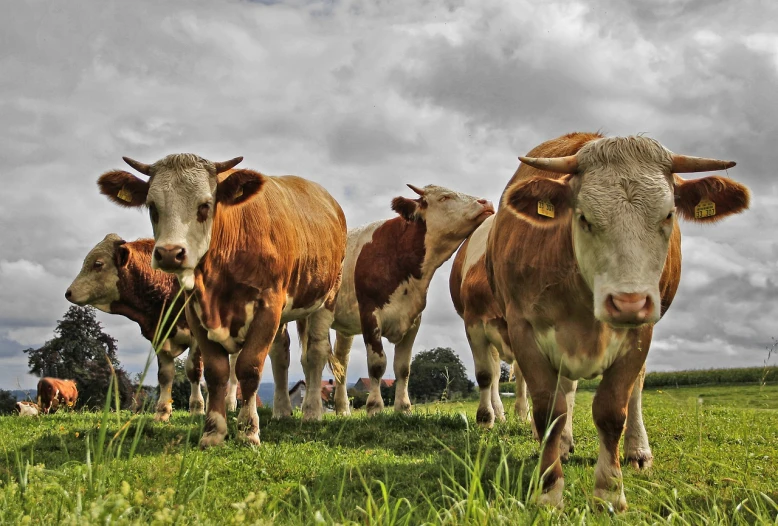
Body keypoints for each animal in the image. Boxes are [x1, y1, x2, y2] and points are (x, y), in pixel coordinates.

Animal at [66, 237, 206, 422]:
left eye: (98, 263)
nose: (68, 292)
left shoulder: (198, 334)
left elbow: (193, 370)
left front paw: (197, 409)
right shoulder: (159, 335)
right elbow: (165, 374)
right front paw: (162, 411)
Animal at [98, 155, 348, 448]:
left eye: (205, 205)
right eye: (152, 206)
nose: (169, 253)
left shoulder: (268, 305)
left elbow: (249, 367)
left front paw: (248, 430)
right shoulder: (195, 312)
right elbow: (216, 372)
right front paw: (213, 431)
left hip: (326, 297)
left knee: (315, 352)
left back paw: (310, 411)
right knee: (280, 353)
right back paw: (282, 410)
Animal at [484, 132, 744, 512]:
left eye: (668, 215)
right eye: (584, 217)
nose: (628, 302)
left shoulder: (640, 333)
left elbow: (611, 410)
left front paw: (609, 490)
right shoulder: (523, 328)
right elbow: (549, 410)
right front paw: (549, 490)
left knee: (635, 389)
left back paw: (637, 452)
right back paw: (564, 445)